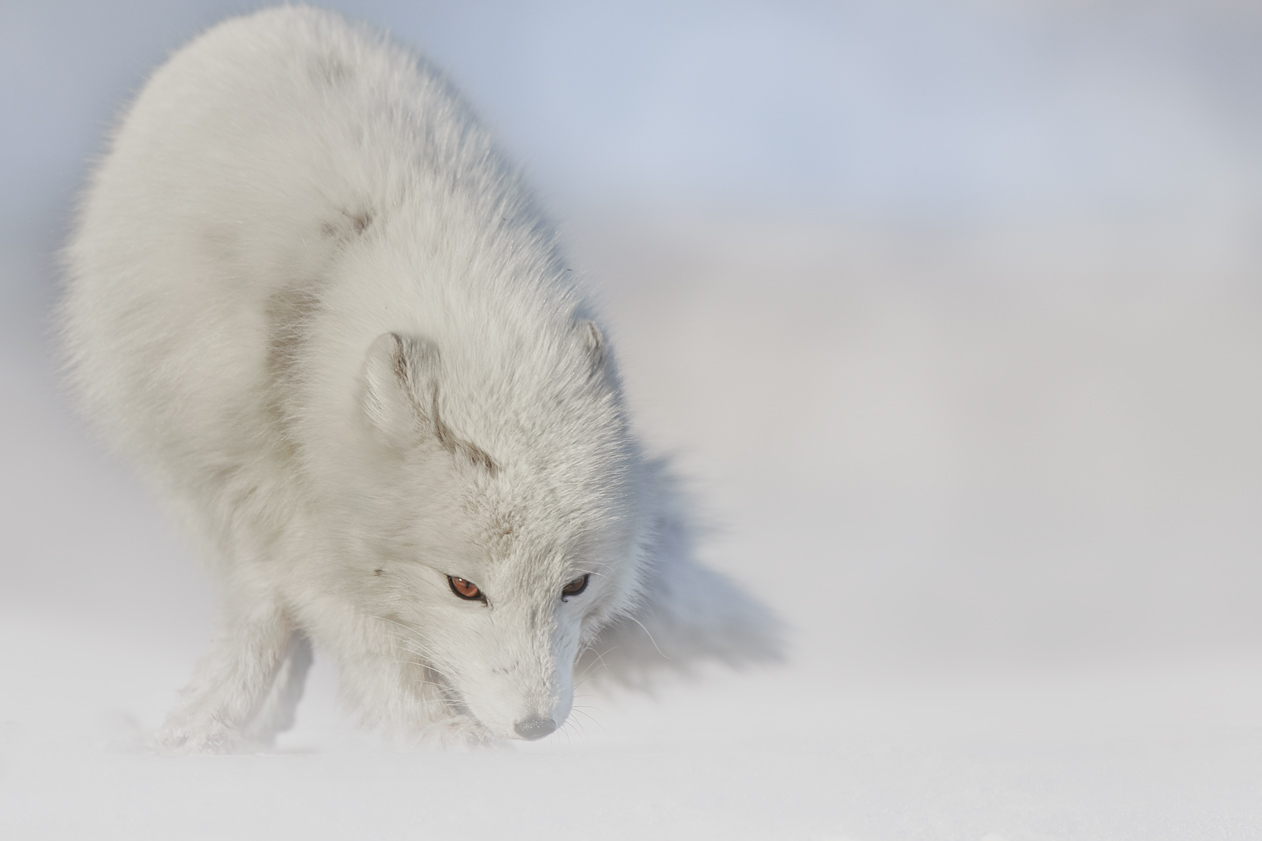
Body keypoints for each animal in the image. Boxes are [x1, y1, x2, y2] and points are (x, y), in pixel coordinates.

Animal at [59, 7, 778, 751]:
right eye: (463, 587)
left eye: (576, 585)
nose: (534, 727)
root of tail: (282, 15)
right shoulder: (280, 501)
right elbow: (345, 629)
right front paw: (439, 742)